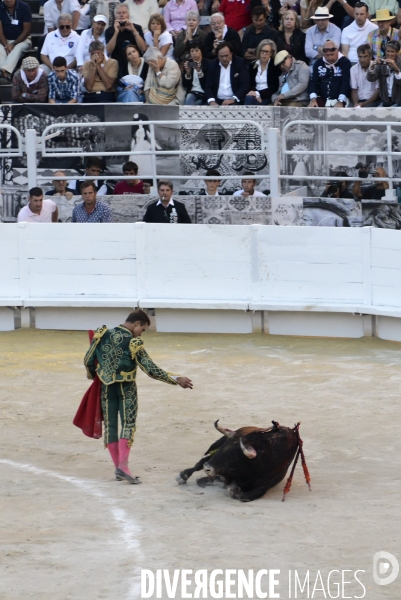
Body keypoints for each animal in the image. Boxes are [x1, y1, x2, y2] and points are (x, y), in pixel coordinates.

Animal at [177, 420, 310, 504]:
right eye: (223, 448)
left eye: (234, 458)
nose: (208, 467)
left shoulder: (266, 483)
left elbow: (244, 495)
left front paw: (233, 489)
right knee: (198, 464)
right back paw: (184, 476)